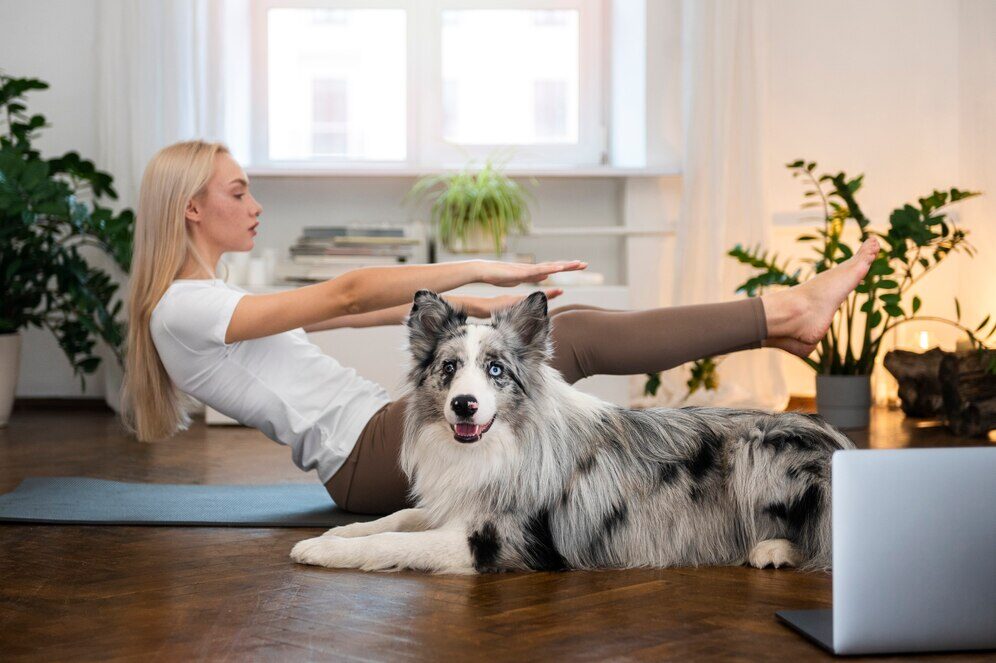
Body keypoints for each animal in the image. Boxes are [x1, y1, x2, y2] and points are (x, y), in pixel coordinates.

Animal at [290, 290, 856, 576]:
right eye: (449, 368)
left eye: (496, 370)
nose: (463, 405)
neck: (496, 447)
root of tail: (842, 442)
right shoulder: (459, 503)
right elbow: (398, 518)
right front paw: (335, 532)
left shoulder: (504, 540)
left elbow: (396, 543)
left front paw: (320, 551)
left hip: (763, 448)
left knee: (828, 539)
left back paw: (772, 550)